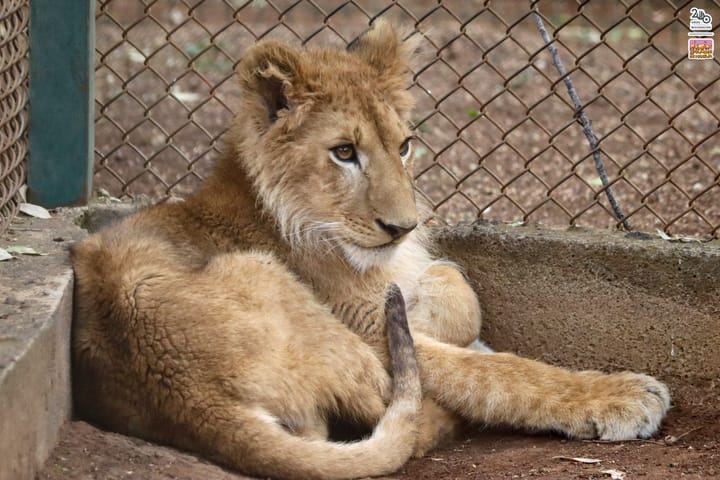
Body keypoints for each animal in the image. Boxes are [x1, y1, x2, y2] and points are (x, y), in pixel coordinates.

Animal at [73, 21, 668, 480]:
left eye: (403, 146)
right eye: (343, 152)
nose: (402, 227)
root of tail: (190, 399)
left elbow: (457, 288)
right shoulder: (365, 326)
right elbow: (500, 372)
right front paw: (621, 395)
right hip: (289, 299)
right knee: (400, 412)